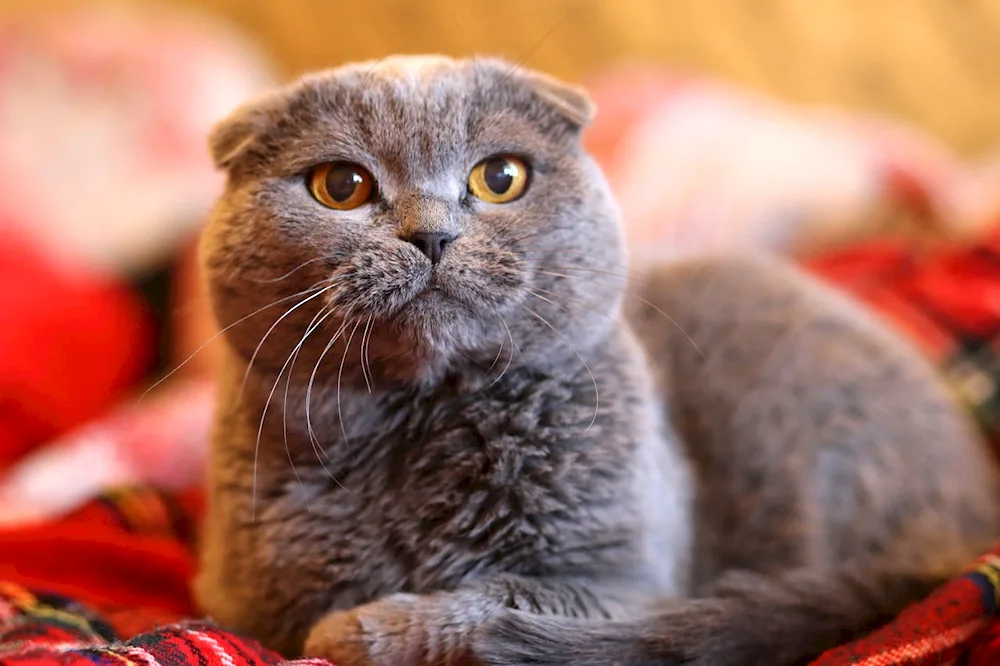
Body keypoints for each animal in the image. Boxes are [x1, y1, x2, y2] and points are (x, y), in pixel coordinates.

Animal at [193, 55, 1000, 664]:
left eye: (500, 177)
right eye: (342, 186)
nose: (431, 234)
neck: (415, 426)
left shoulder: (623, 584)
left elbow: (490, 604)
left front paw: (352, 633)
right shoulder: (243, 599)